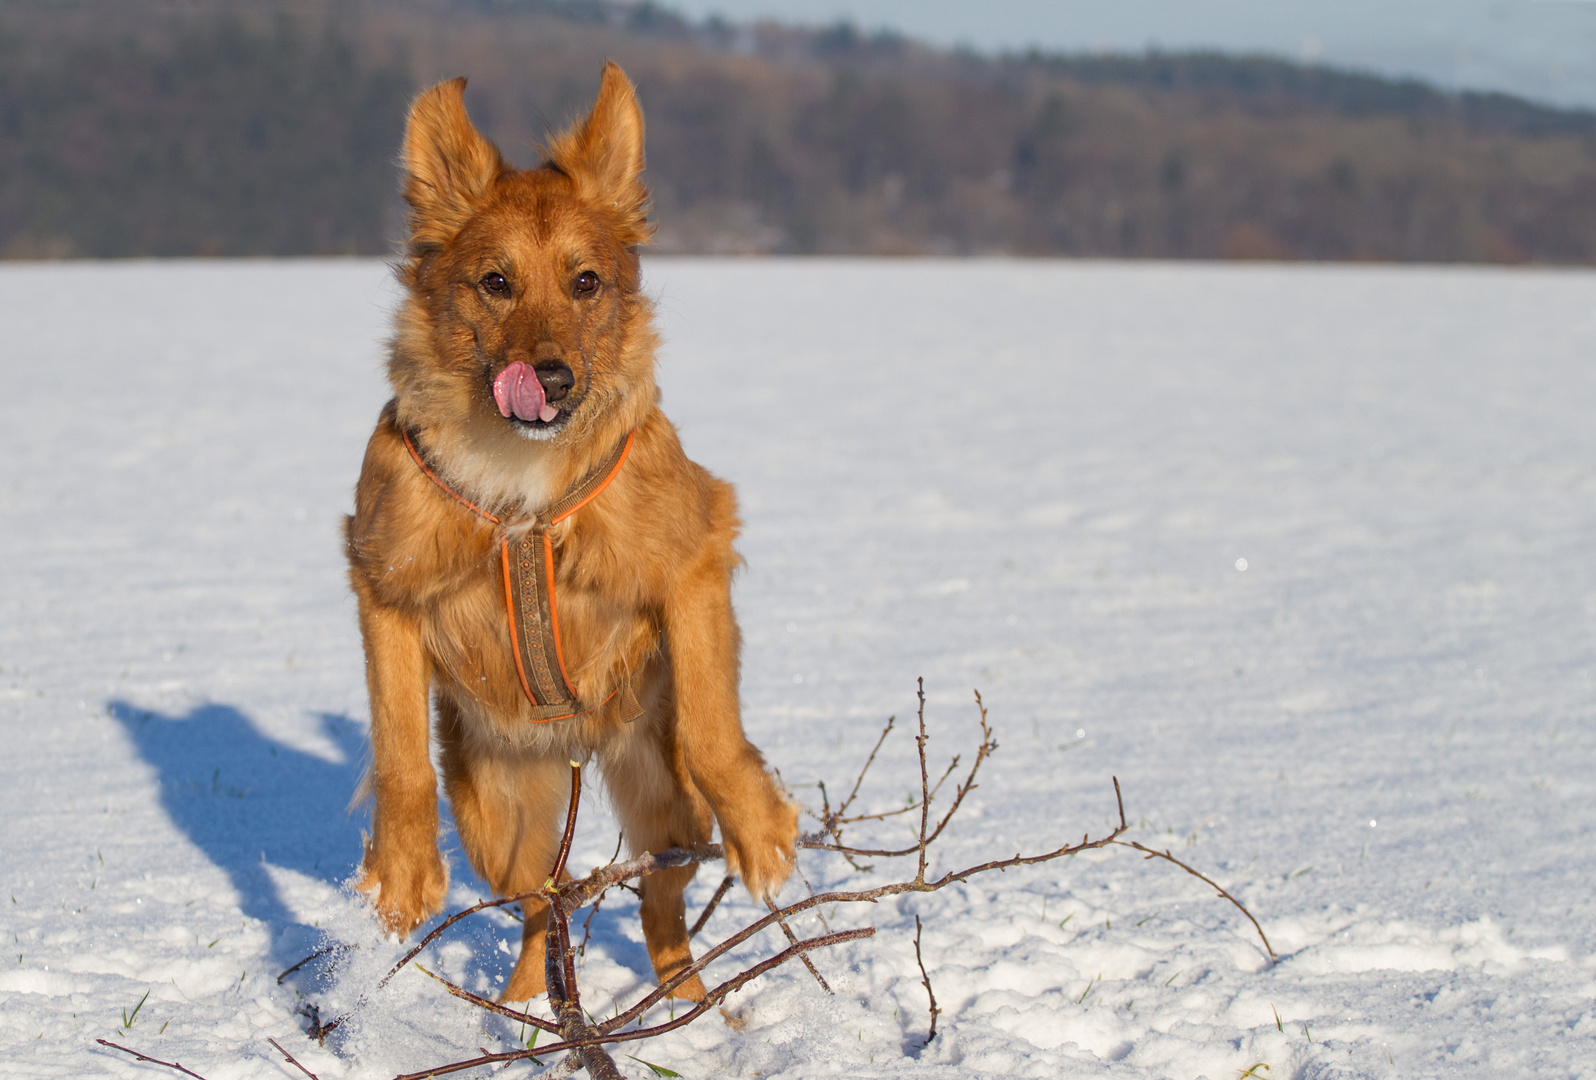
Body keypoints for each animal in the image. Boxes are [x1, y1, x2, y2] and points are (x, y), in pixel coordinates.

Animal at [347, 63, 798, 995]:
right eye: (496, 283)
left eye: (585, 282)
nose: (547, 378)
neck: (522, 481)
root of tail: (577, 746)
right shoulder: (381, 580)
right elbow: (399, 748)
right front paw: (402, 872)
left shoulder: (693, 556)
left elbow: (712, 724)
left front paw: (763, 826)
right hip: (500, 817)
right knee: (539, 907)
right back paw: (523, 1012)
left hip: (665, 808)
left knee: (659, 905)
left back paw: (689, 1002)